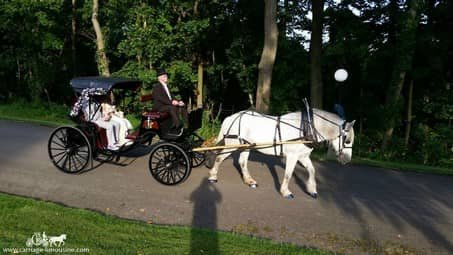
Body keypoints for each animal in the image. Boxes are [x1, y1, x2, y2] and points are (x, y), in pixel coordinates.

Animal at [207, 108, 354, 198]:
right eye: (347, 140)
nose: (347, 159)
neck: (306, 128)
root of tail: (231, 117)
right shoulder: (293, 156)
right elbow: (288, 174)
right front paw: (285, 192)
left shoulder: (303, 156)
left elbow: (312, 170)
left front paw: (312, 190)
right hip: (232, 144)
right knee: (219, 158)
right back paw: (213, 177)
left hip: (246, 146)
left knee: (242, 162)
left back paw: (250, 181)